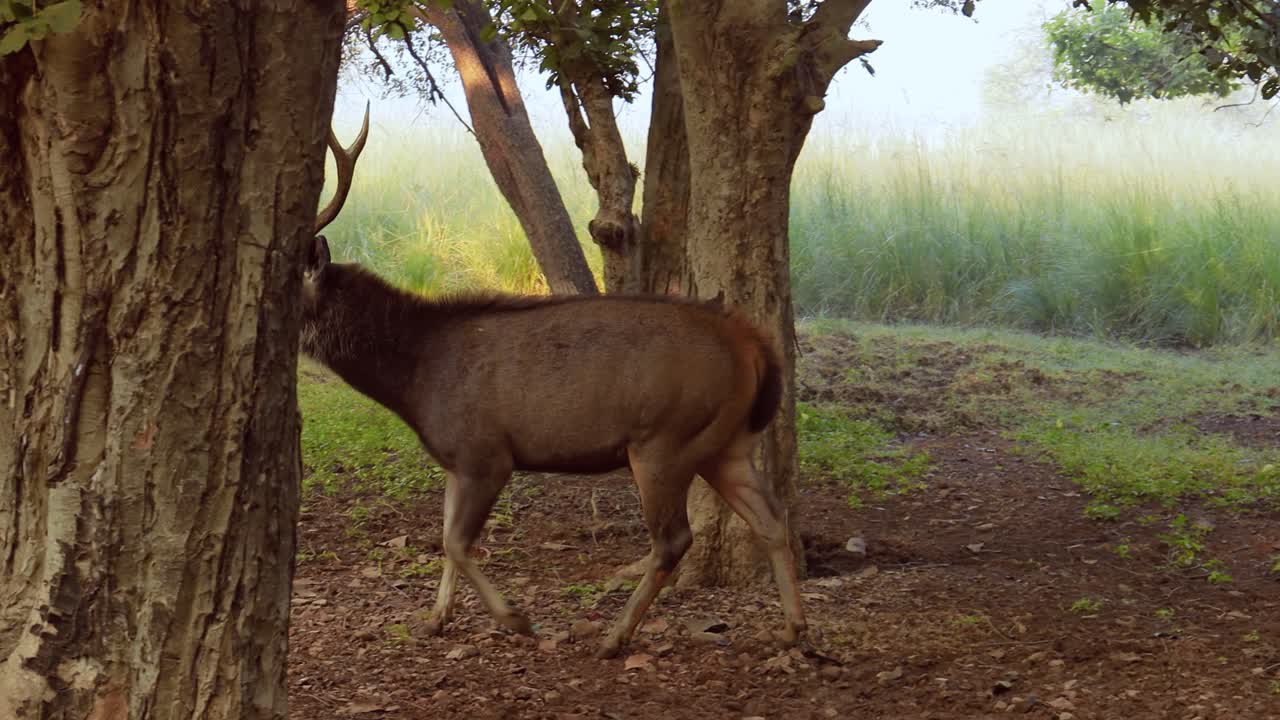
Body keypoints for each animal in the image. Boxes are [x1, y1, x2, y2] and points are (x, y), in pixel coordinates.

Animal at [300, 107, 806, 658]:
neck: (415, 380)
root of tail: (752, 345)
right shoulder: (455, 460)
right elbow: (445, 537)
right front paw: (435, 619)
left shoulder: (484, 452)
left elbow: (457, 541)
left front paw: (514, 619)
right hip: (725, 441)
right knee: (771, 518)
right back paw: (795, 629)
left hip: (665, 438)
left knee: (674, 538)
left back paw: (614, 636)